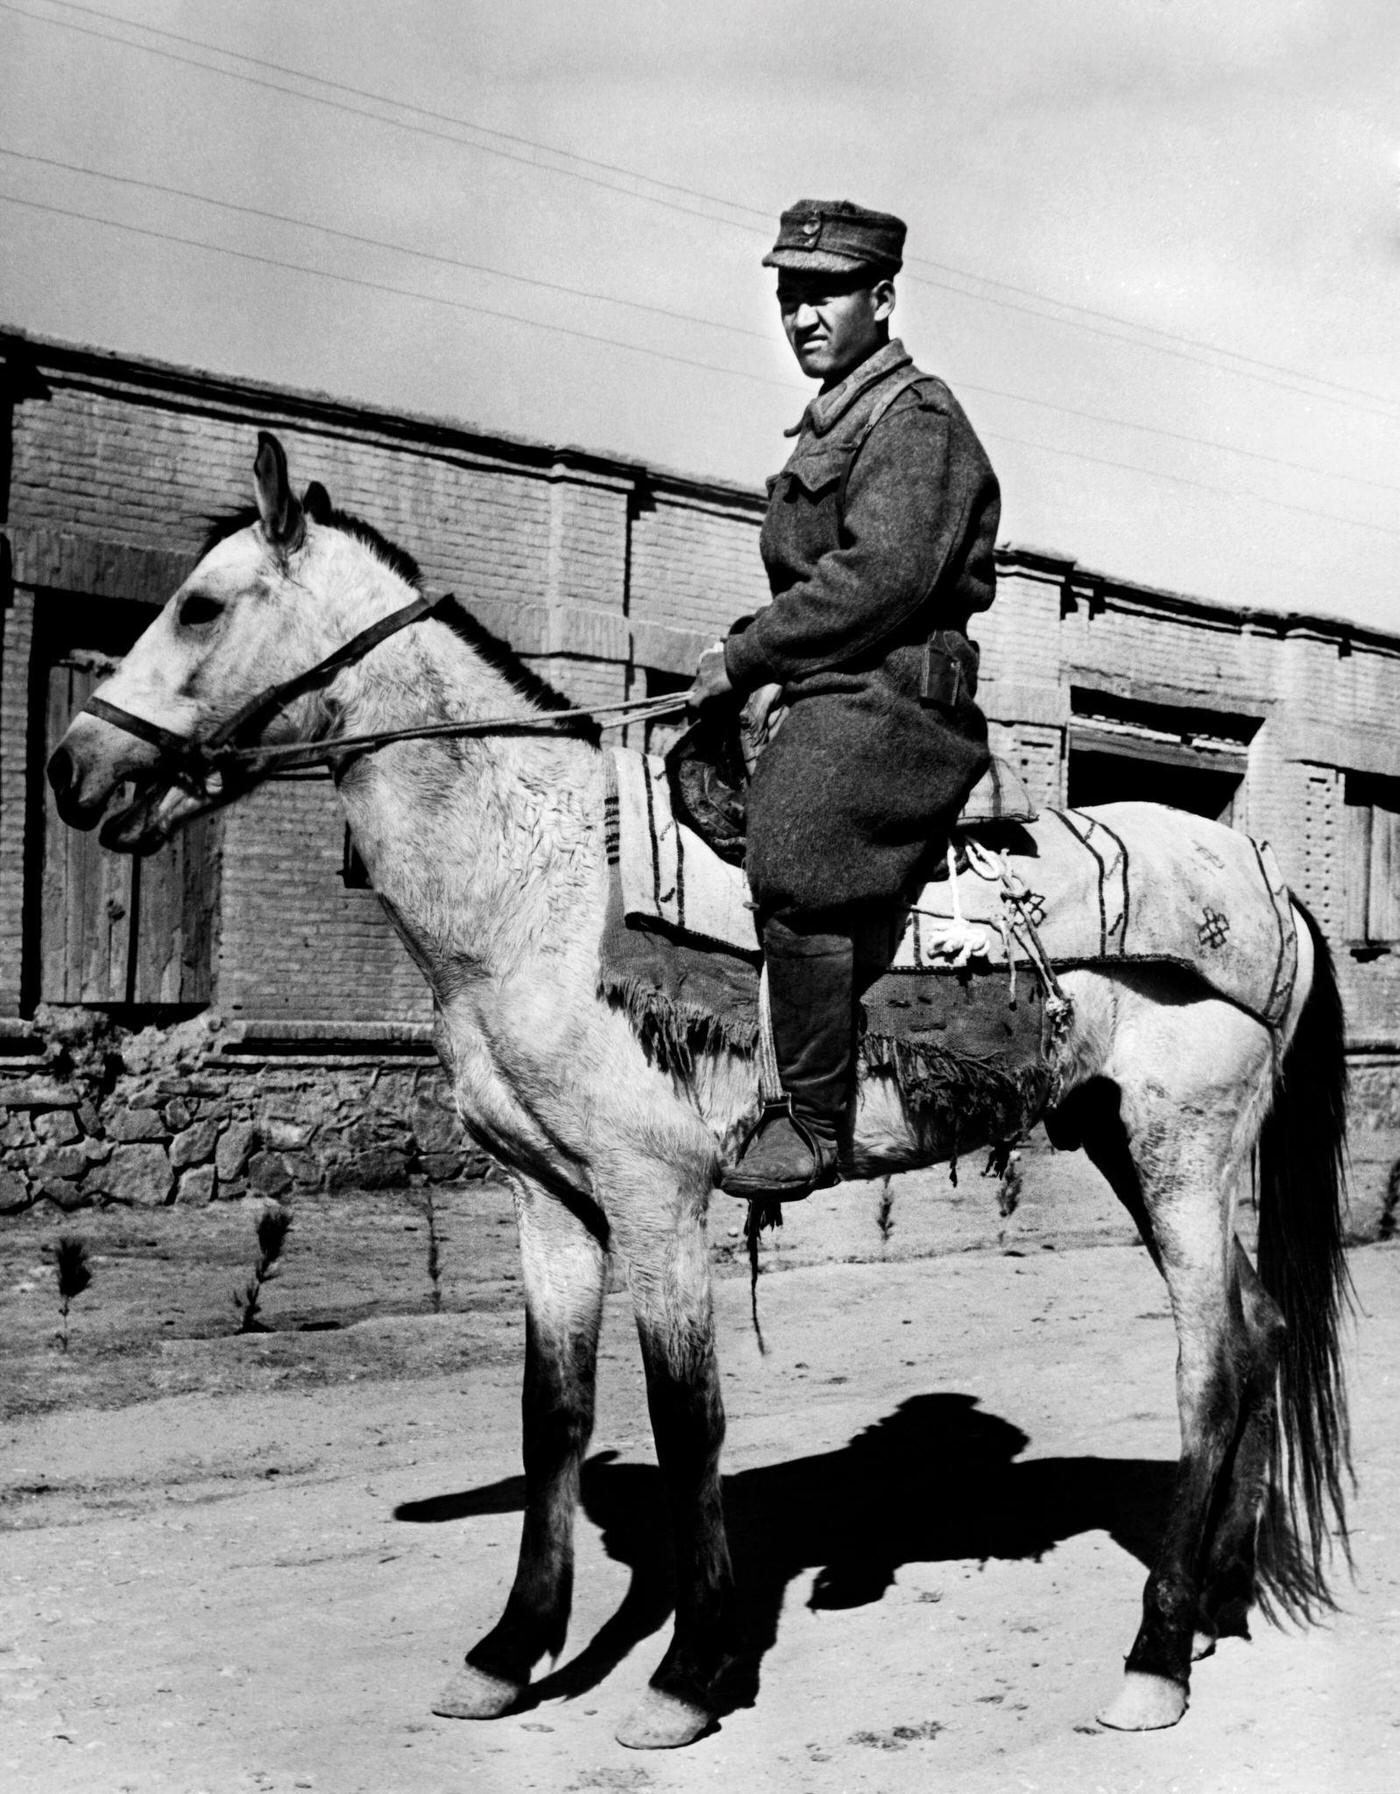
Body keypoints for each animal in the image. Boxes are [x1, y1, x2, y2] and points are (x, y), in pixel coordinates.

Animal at [49, 434, 1349, 1750]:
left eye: (200, 605)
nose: (73, 770)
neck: (541, 888)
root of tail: (1265, 884)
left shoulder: (656, 1197)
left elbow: (687, 1421)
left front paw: (690, 1668)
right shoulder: (549, 1200)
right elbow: (554, 1415)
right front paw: (510, 1652)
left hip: (1181, 1154)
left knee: (1209, 1364)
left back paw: (1153, 1655)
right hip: (1127, 1148)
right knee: (1257, 1329)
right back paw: (1218, 1599)